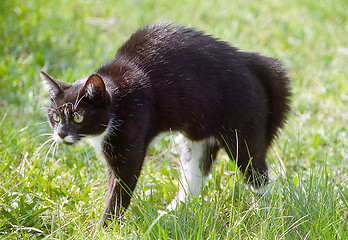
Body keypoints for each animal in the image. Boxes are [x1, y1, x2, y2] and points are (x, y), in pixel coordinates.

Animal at [40, 22, 290, 227]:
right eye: (55, 117)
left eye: (78, 117)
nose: (61, 134)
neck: (118, 96)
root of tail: (252, 61)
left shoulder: (130, 137)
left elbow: (120, 189)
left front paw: (104, 229)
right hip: (199, 136)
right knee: (195, 177)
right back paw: (168, 214)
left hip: (243, 132)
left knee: (257, 173)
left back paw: (264, 215)